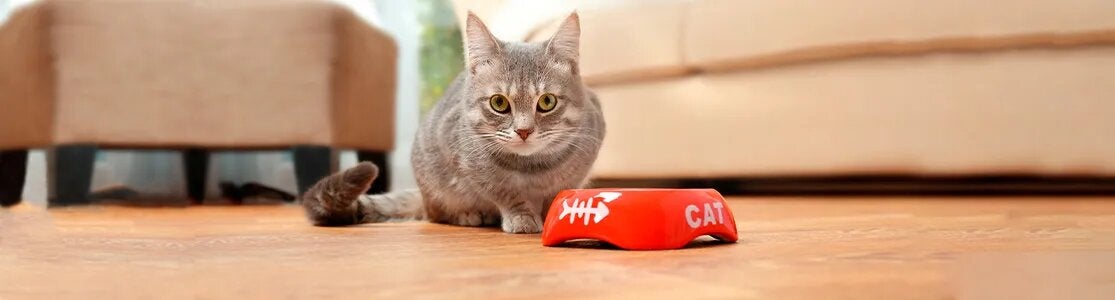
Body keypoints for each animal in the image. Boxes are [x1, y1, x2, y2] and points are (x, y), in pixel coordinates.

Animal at [298, 12, 602, 233]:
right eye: (499, 103)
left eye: (547, 101)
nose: (524, 131)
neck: (532, 170)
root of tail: (423, 196)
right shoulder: (468, 163)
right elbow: (503, 191)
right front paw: (522, 216)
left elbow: (558, 192)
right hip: (435, 187)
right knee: (437, 214)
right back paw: (469, 214)